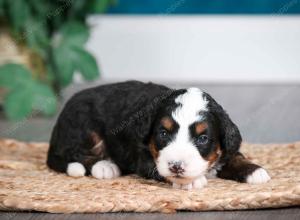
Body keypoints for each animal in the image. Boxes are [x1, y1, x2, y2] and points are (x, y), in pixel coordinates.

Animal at [47, 80, 270, 189]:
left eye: (202, 138)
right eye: (163, 133)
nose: (177, 166)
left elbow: (235, 155)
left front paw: (254, 170)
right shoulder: (143, 156)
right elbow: (158, 169)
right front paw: (190, 181)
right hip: (83, 126)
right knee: (73, 153)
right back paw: (105, 166)